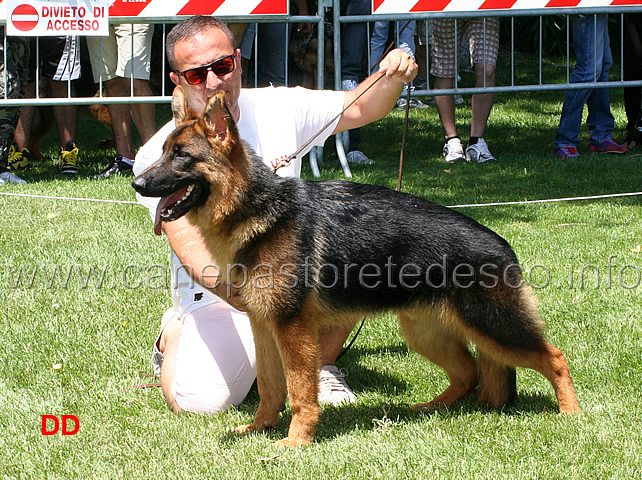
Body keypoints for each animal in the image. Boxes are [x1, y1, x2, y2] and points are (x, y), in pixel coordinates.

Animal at [131, 87, 580, 446]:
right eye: (163, 152)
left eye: (182, 156)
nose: (136, 183)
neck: (257, 209)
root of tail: (503, 246)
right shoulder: (265, 327)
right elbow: (273, 389)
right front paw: (260, 429)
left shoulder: (293, 332)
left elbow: (299, 391)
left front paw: (296, 442)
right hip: (427, 333)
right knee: (469, 372)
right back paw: (430, 408)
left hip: (493, 326)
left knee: (553, 357)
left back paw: (571, 414)